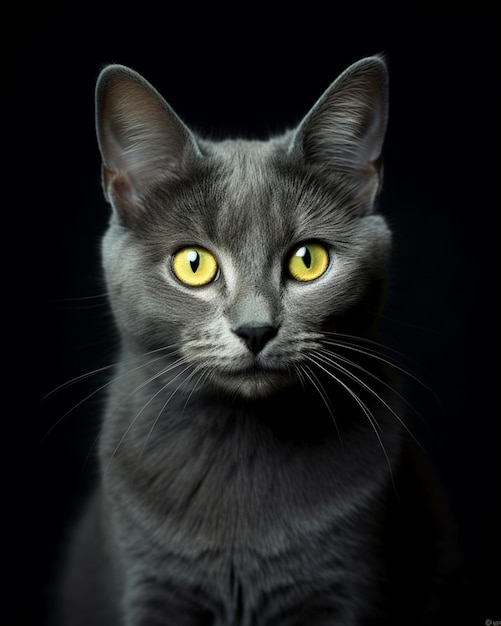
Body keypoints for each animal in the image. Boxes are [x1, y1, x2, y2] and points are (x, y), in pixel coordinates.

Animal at [53, 56, 460, 620]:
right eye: (193, 264)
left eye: (308, 259)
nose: (255, 328)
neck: (244, 441)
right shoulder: (151, 588)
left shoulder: (342, 587)